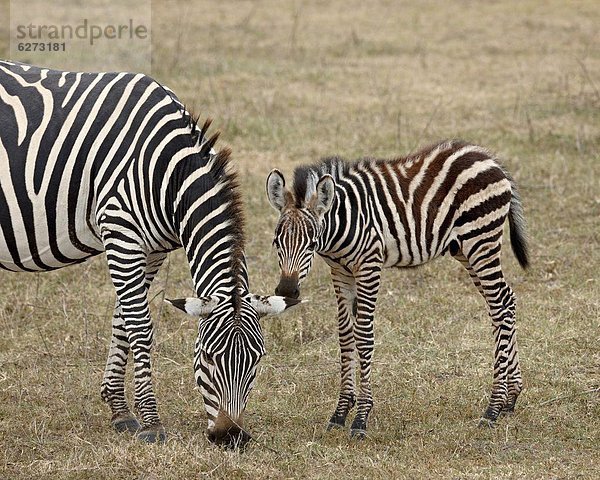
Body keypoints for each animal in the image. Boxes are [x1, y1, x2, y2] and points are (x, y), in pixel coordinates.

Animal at [0, 62, 300, 448]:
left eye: (257, 361)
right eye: (207, 357)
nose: (230, 436)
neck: (168, 174)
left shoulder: (152, 249)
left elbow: (122, 321)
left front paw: (120, 410)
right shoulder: (121, 231)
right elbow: (140, 326)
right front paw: (152, 422)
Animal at [264, 140, 528, 438]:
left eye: (311, 243)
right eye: (276, 242)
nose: (287, 290)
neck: (342, 222)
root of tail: (489, 158)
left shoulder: (369, 265)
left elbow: (364, 336)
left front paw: (361, 418)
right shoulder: (341, 272)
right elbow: (345, 336)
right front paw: (341, 412)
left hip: (481, 240)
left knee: (499, 306)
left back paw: (493, 407)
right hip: (465, 249)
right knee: (505, 302)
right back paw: (510, 398)